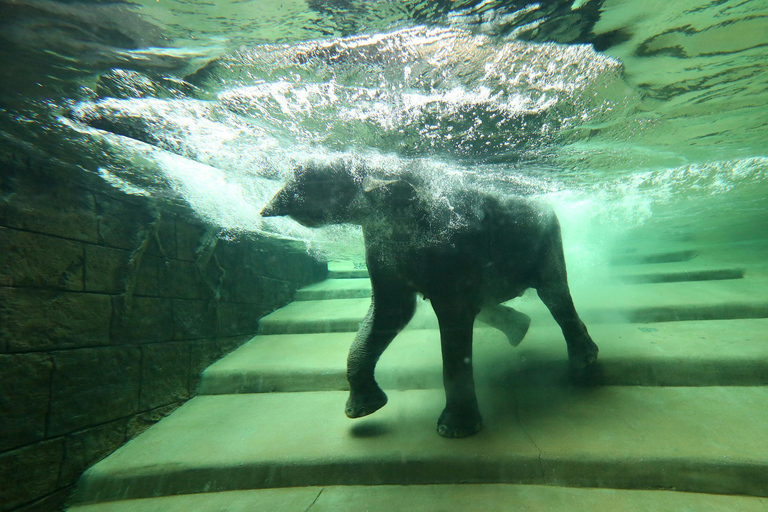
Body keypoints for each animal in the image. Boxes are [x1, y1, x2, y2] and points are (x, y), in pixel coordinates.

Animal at [260, 162, 596, 438]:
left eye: (317, 178)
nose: (266, 211)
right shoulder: (381, 242)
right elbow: (392, 310)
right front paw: (363, 411)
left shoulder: (452, 244)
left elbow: (453, 315)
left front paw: (454, 431)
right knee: (491, 303)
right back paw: (520, 330)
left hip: (548, 239)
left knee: (554, 293)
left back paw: (585, 362)